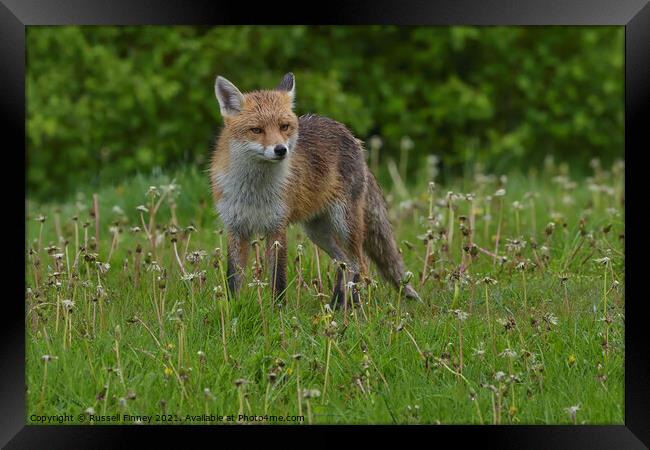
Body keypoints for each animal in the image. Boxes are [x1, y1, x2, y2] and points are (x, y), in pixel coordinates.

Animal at [209, 73, 420, 310]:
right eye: (256, 130)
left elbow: (278, 278)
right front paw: (230, 308)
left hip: (344, 223)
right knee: (344, 262)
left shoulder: (277, 227)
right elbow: (233, 278)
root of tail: (352, 136)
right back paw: (337, 306)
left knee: (360, 264)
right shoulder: (236, 228)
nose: (281, 150)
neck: (253, 190)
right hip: (318, 230)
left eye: (284, 126)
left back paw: (351, 307)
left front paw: (278, 312)